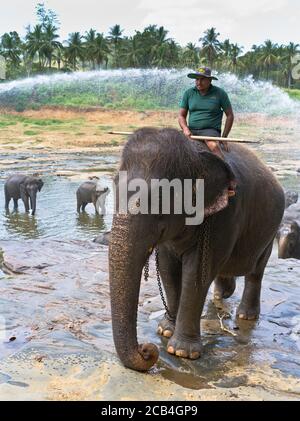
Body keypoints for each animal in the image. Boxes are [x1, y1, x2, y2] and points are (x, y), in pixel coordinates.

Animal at [109, 126, 284, 370]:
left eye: (161, 199)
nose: (147, 350)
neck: (195, 154)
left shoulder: (225, 215)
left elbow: (197, 273)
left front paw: (182, 352)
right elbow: (167, 268)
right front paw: (165, 330)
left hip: (270, 230)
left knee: (256, 271)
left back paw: (246, 317)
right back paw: (222, 294)